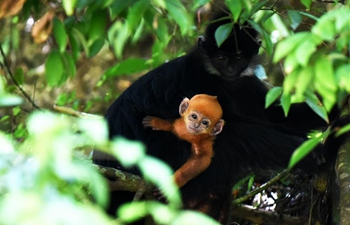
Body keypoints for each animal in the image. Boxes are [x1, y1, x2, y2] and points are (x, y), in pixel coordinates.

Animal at [93, 8, 328, 223]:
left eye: (239, 57)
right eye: (221, 58)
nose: (231, 69)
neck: (223, 80)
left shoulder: (244, 83)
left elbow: (277, 115)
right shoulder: (196, 76)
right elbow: (232, 122)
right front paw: (313, 146)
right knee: (236, 135)